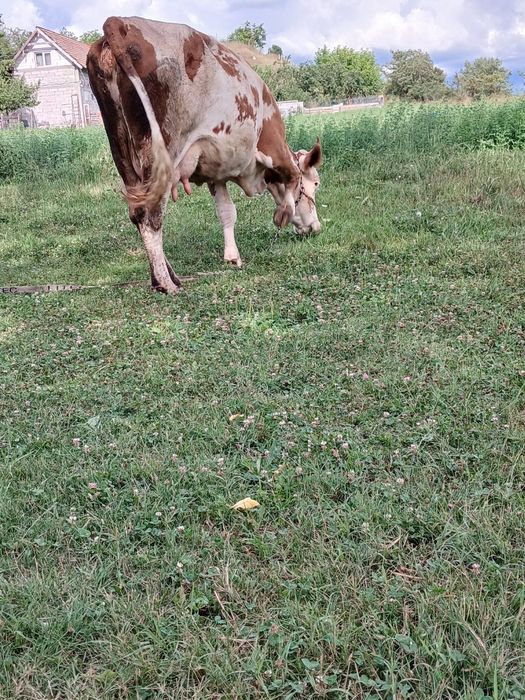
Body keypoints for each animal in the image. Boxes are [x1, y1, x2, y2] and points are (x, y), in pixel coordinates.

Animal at [87, 16, 322, 294]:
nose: (315, 227)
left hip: (122, 150)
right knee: (150, 213)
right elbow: (291, 181)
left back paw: (165, 276)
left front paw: (232, 256)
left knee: (137, 212)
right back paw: (166, 284)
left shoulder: (215, 173)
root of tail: (119, 23)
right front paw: (282, 213)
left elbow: (227, 211)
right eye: (315, 183)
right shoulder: (275, 149)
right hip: (162, 150)